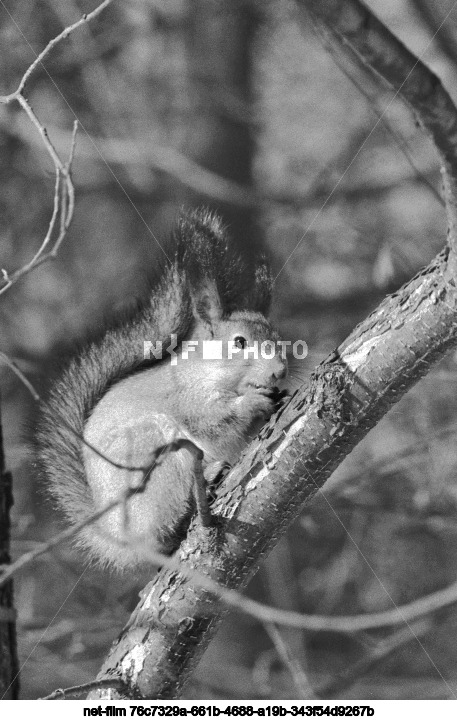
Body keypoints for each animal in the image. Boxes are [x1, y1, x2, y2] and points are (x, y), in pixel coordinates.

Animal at [36, 208, 284, 568]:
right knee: (165, 528)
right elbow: (214, 423)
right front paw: (252, 403)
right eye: (239, 342)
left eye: (279, 338)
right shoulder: (188, 399)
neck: (208, 371)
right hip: (158, 459)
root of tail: (118, 539)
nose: (280, 372)